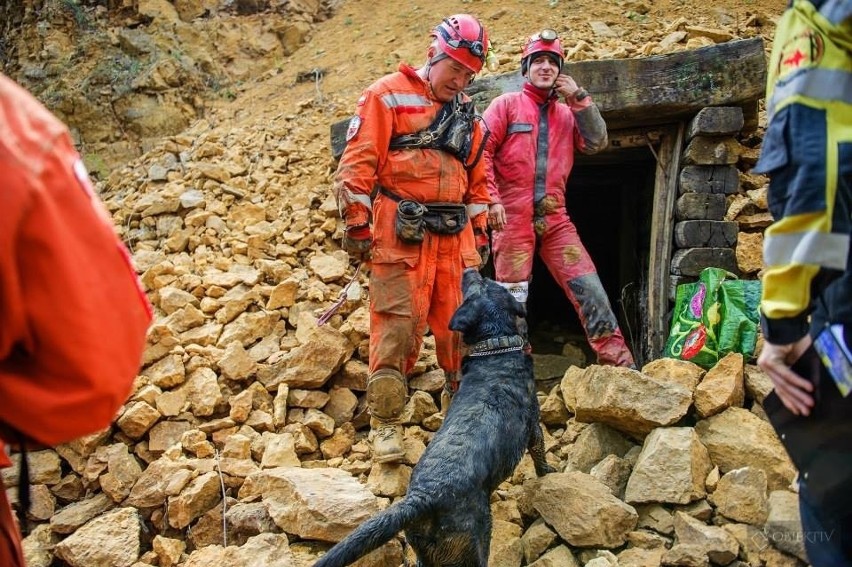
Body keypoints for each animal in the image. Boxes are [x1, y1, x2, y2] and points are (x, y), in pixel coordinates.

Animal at [312, 270, 552, 567]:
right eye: (478, 284)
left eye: (486, 282)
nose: (471, 270)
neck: (496, 347)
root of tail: (421, 498)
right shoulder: (533, 426)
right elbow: (540, 455)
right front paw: (549, 475)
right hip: (472, 545)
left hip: (425, 551)